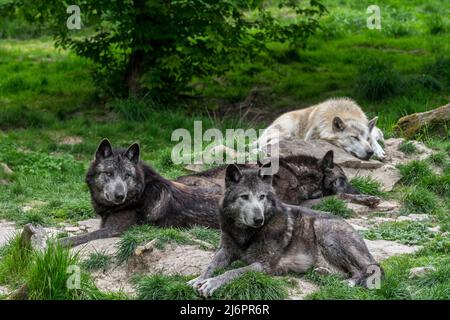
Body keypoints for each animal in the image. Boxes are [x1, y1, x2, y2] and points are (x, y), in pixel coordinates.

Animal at [188, 164, 382, 298]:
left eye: (262, 197)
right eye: (244, 197)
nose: (259, 220)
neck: (245, 233)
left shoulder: (263, 265)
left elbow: (233, 272)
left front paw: (211, 283)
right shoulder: (225, 250)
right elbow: (211, 265)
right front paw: (197, 279)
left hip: (324, 230)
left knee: (367, 270)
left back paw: (347, 283)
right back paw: (323, 273)